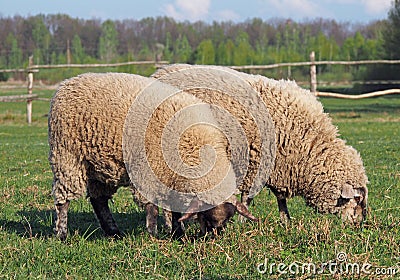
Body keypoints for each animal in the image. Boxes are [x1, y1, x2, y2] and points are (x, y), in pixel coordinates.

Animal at [49, 72, 256, 241]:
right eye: (209, 216)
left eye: (228, 219)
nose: (213, 237)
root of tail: (68, 82)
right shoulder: (148, 171)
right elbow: (152, 208)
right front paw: (153, 233)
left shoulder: (173, 177)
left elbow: (175, 210)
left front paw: (178, 234)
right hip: (67, 157)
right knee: (63, 199)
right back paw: (62, 233)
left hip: (99, 164)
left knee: (98, 200)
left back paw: (113, 232)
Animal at [152, 63, 368, 225]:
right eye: (357, 199)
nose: (359, 224)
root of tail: (158, 73)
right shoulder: (256, 163)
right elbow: (247, 197)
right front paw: (242, 221)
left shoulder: (279, 166)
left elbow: (280, 198)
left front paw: (285, 220)